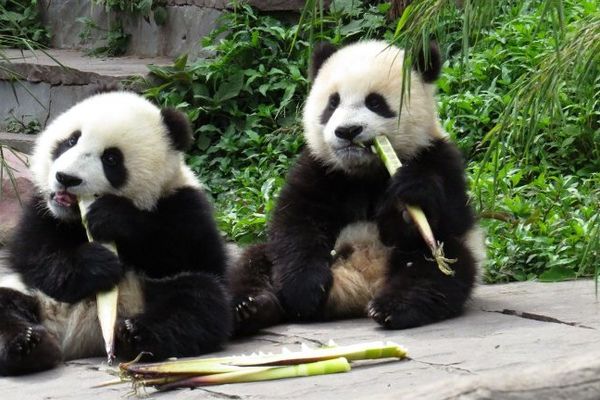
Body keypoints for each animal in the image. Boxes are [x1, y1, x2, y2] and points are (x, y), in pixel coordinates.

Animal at [0, 90, 232, 376]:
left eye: (111, 158)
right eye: (70, 141)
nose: (66, 178)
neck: (75, 218)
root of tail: (78, 337)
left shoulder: (183, 202)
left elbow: (193, 254)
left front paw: (111, 217)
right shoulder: (42, 210)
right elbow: (34, 254)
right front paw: (97, 264)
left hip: (145, 296)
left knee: (198, 301)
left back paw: (135, 334)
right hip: (33, 294)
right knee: (5, 305)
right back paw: (28, 345)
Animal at [227, 39, 486, 334]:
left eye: (375, 102)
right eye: (332, 103)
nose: (347, 131)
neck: (365, 170)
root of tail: (358, 288)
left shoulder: (438, 156)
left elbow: (452, 219)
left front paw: (410, 195)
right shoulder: (320, 168)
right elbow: (297, 223)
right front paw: (303, 292)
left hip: (436, 259)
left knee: (439, 268)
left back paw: (391, 308)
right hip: (273, 259)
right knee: (253, 261)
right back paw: (251, 307)